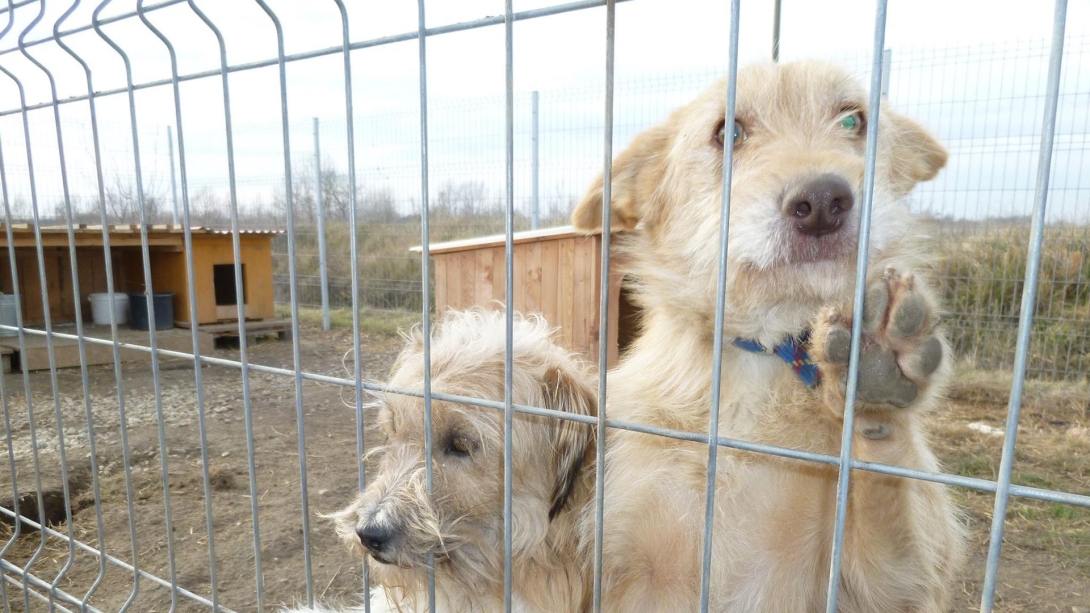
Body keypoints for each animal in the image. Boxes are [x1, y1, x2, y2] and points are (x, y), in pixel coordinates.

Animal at [571, 58, 963, 610]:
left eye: (853, 120)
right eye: (728, 132)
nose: (822, 200)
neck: (757, 362)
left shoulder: (887, 588)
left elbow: (885, 497)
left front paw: (874, 385)